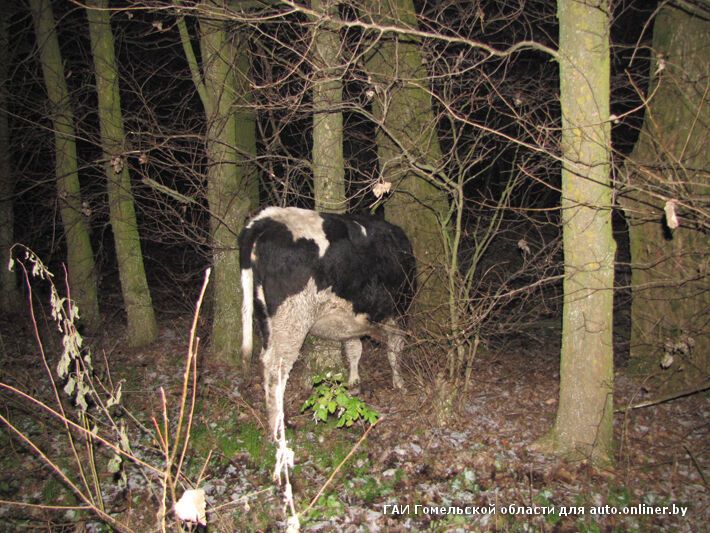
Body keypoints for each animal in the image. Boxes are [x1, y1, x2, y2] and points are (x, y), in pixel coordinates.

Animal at [238, 206, 416, 437]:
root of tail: (267, 218)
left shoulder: (351, 321)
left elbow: (354, 349)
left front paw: (354, 384)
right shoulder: (399, 313)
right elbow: (394, 351)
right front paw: (399, 382)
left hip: (264, 315)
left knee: (265, 359)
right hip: (291, 319)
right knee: (276, 367)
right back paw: (279, 426)